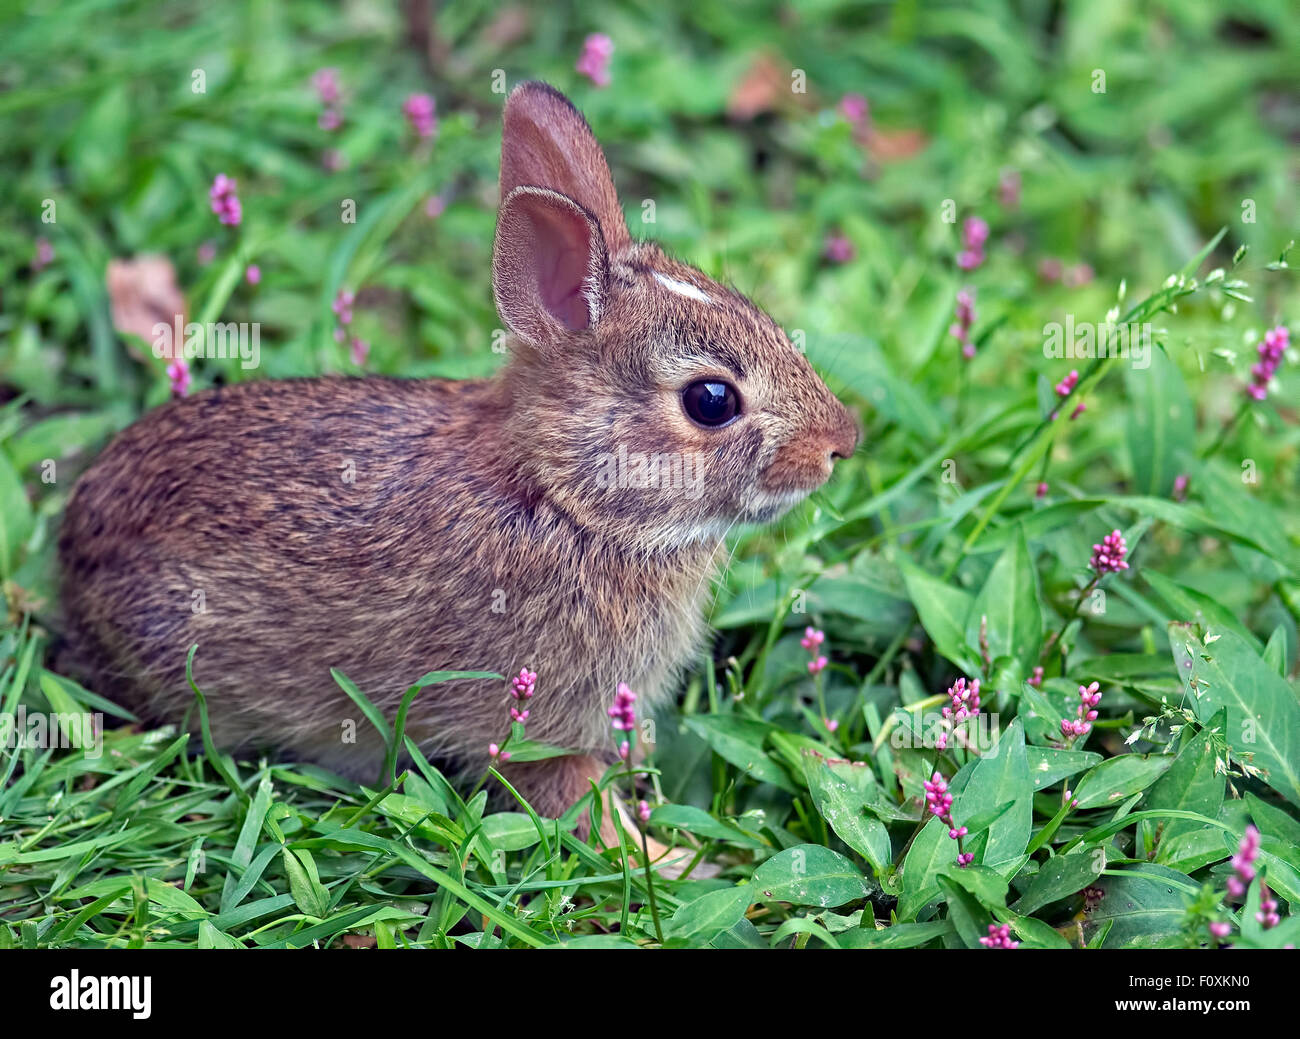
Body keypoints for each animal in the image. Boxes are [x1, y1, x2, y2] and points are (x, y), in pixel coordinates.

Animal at [61, 79, 857, 827]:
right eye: (711, 401)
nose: (840, 444)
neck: (565, 500)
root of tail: (70, 556)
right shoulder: (538, 718)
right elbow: (565, 793)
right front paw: (660, 852)